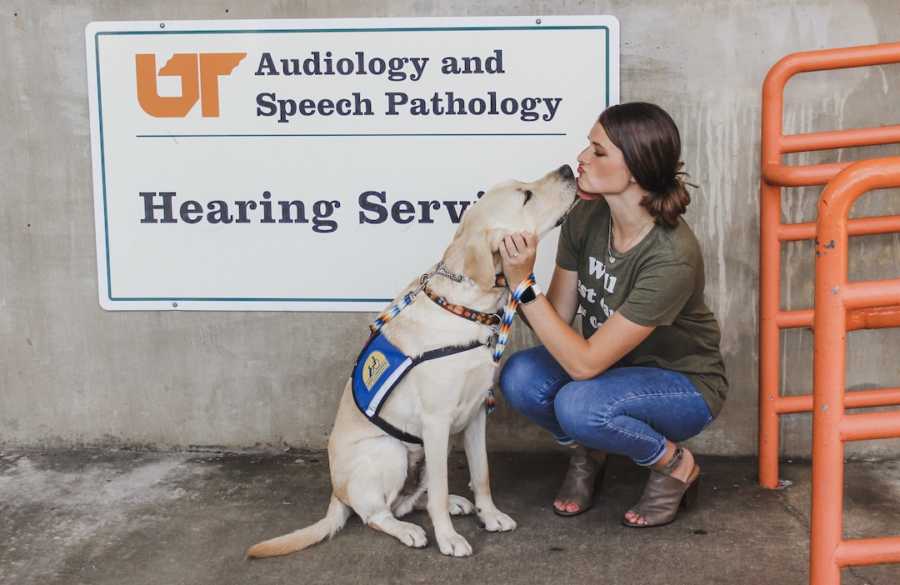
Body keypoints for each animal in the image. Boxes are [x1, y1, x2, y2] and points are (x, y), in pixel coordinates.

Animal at [246, 164, 576, 556]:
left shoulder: (477, 412)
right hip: (391, 450)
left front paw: (490, 515)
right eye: (526, 195)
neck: (467, 308)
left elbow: (481, 473)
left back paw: (453, 504)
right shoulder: (436, 421)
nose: (568, 169)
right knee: (378, 513)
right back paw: (408, 530)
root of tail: (336, 493)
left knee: (412, 499)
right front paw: (448, 538)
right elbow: (440, 489)